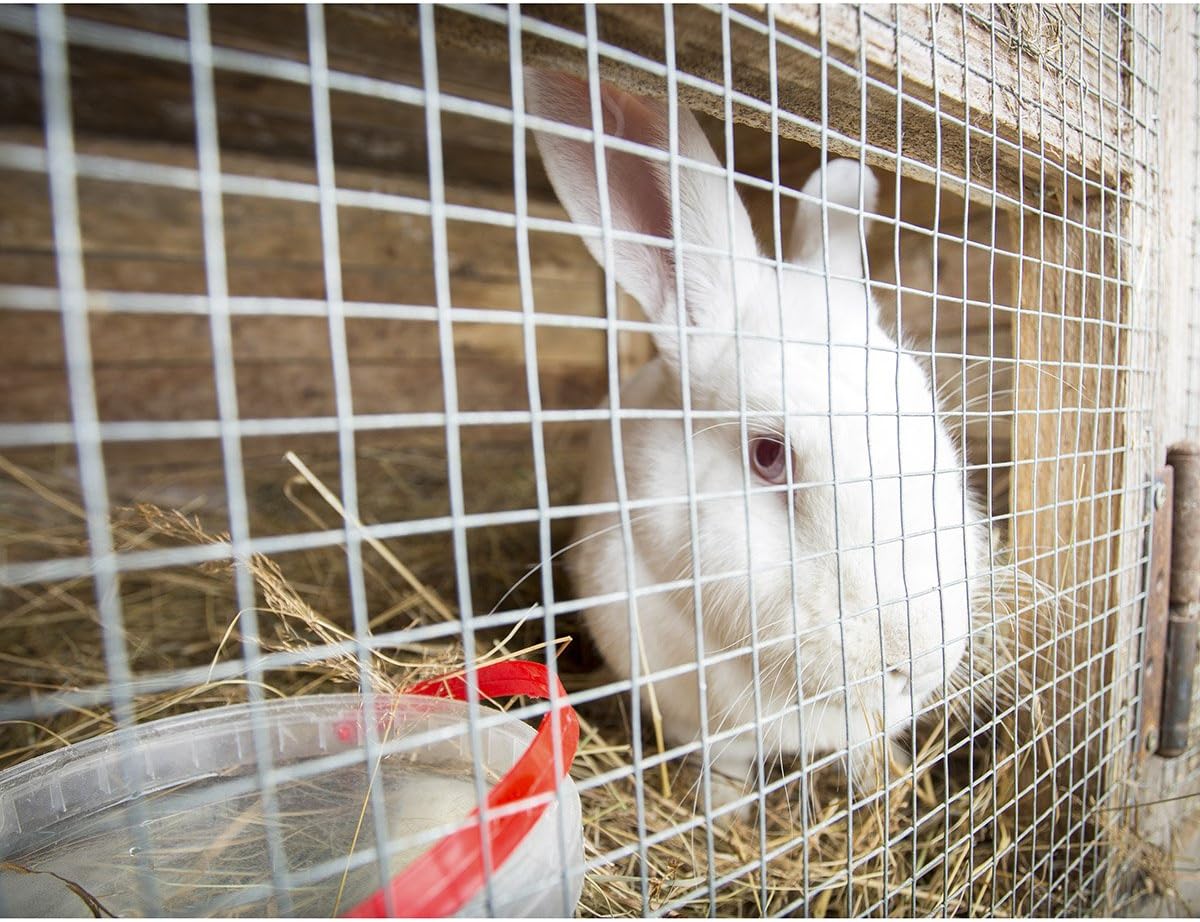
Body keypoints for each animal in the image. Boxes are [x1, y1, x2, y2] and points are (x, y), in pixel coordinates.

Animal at [525, 69, 987, 815]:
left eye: (928, 423)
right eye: (768, 456)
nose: (917, 660)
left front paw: (884, 773)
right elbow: (727, 765)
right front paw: (722, 811)